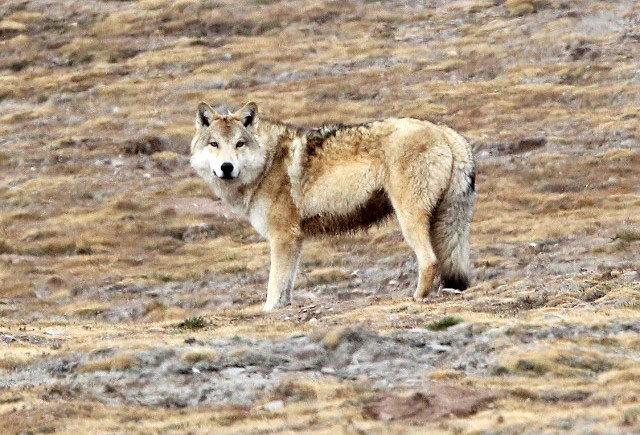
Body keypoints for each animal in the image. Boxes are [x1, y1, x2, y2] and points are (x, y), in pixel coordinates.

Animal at [190, 101, 476, 314]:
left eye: (240, 143)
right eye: (214, 144)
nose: (227, 167)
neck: (267, 164)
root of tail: (444, 131)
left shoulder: (283, 237)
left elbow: (275, 285)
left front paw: (269, 311)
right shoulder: (295, 241)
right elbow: (286, 286)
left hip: (409, 219)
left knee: (429, 261)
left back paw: (415, 298)